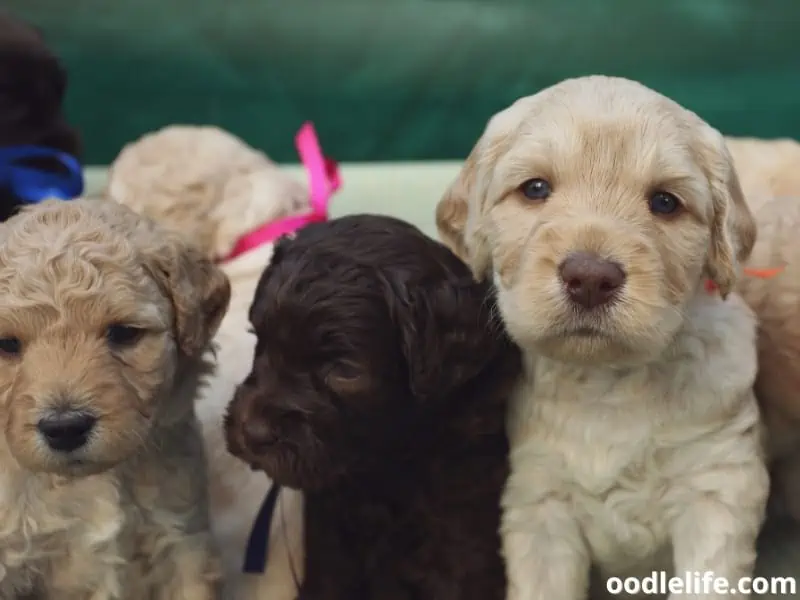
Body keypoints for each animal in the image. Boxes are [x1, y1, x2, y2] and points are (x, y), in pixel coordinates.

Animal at [227, 216, 524, 600]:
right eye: (259, 338)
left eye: (345, 370)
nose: (253, 433)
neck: (383, 465)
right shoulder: (330, 536)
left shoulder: (460, 534)